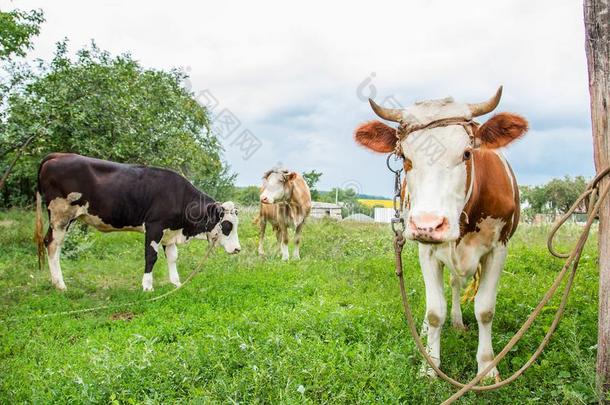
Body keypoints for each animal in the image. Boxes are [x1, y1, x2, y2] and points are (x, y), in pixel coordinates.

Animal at [32, 152, 238, 290]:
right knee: (52, 244)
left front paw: (176, 282)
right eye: (227, 225)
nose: (237, 249)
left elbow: (172, 257)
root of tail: (58, 155)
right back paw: (60, 285)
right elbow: (151, 256)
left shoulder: (169, 231)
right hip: (61, 215)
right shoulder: (154, 226)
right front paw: (147, 286)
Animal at [354, 87, 524, 380]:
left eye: (467, 153)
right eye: (404, 158)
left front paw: (487, 367)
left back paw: (457, 320)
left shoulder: (498, 249)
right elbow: (435, 311)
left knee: (456, 284)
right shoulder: (428, 251)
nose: (428, 225)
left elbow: (485, 310)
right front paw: (430, 366)